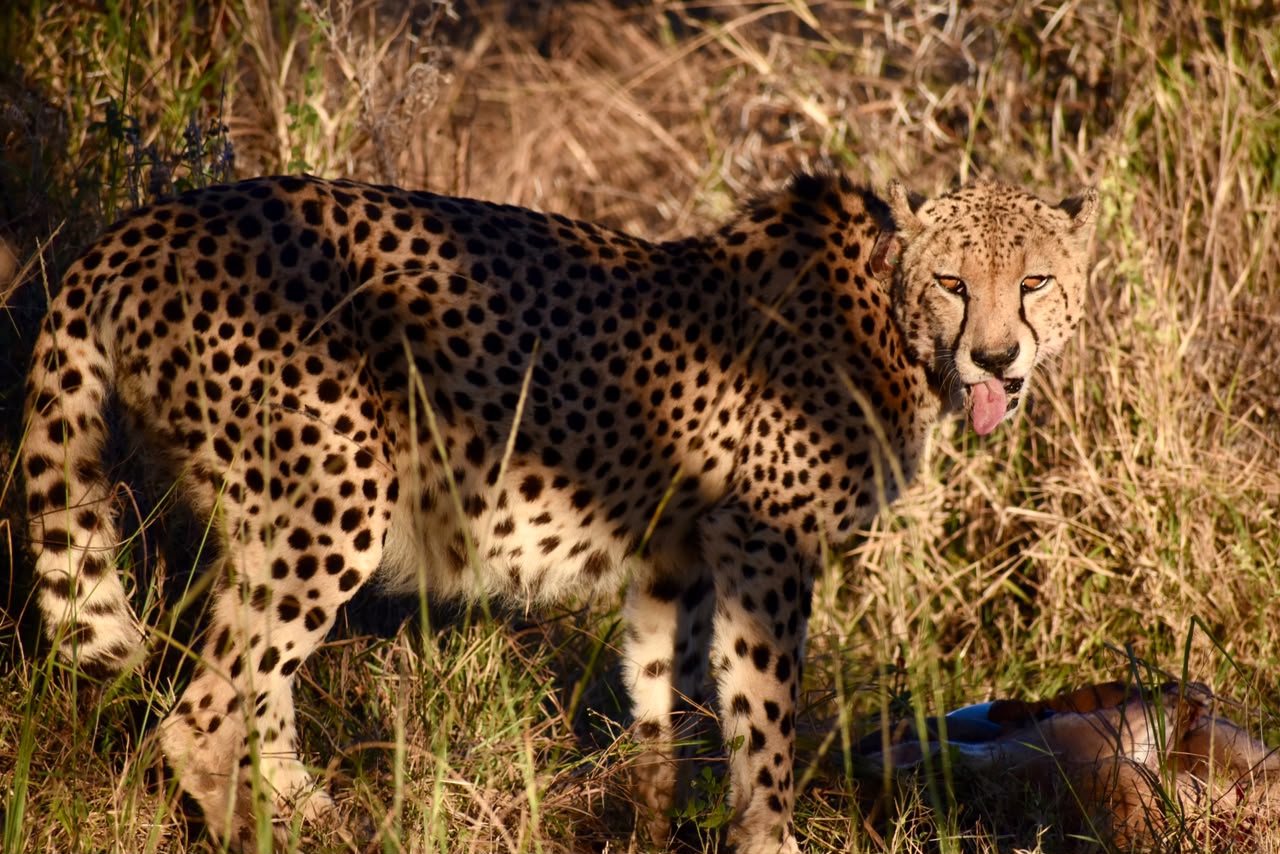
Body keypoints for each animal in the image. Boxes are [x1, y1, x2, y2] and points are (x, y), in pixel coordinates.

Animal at [23, 172, 1096, 852]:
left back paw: (326, 820)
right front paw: (769, 836)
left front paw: (658, 826)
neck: (886, 318)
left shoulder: (679, 559)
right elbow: (764, 718)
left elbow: (668, 708)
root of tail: (140, 227)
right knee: (201, 718)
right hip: (333, 499)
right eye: (953, 283)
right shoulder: (765, 548)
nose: (996, 356)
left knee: (255, 694)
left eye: (1034, 280)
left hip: (268, 516)